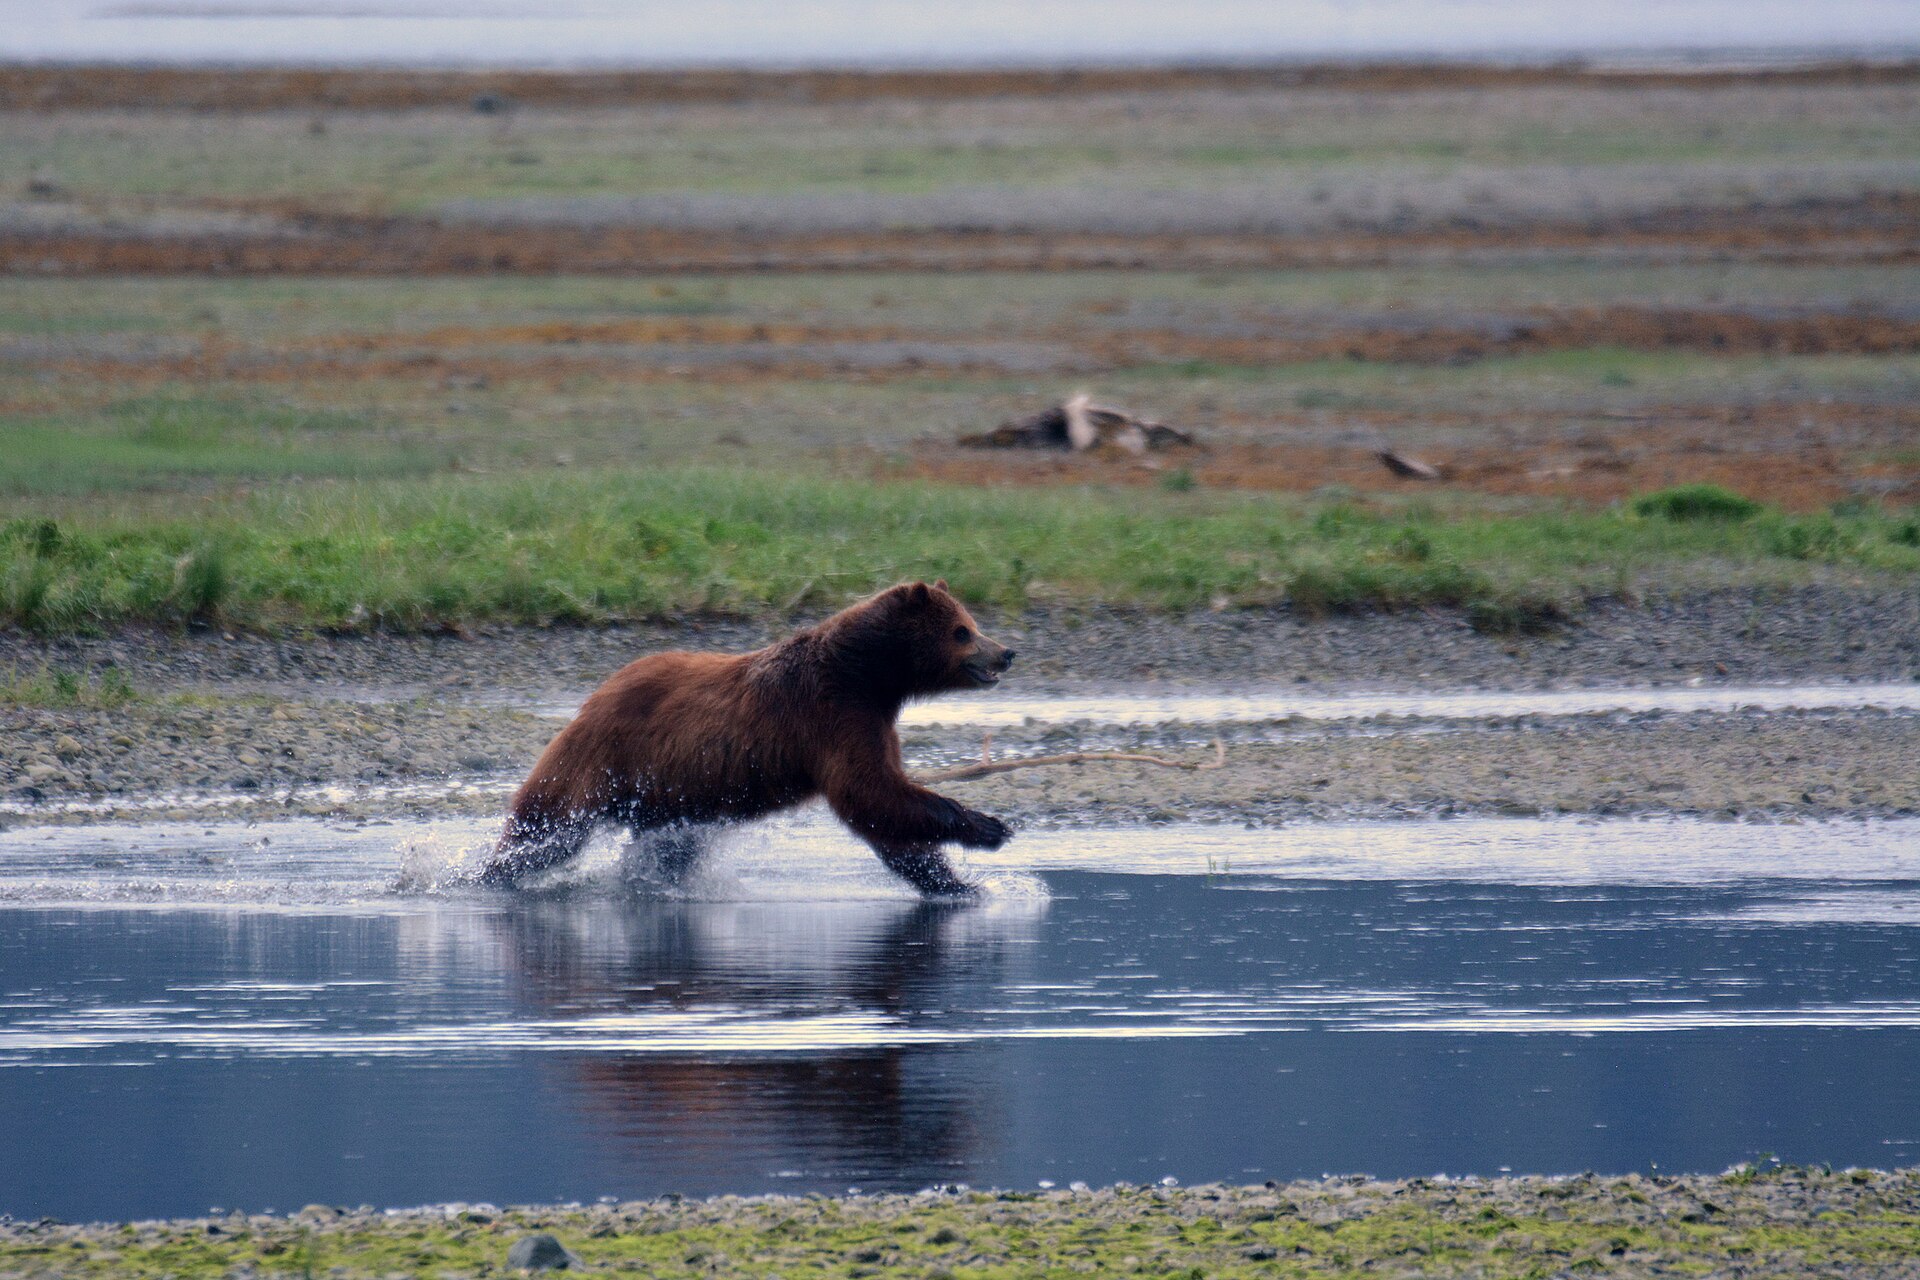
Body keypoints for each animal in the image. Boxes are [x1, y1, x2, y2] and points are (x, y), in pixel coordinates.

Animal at [479, 580, 1017, 896]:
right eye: (962, 631)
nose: (1005, 652)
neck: (870, 675)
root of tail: (593, 696)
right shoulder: (830, 715)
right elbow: (868, 791)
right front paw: (989, 827)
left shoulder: (871, 720)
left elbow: (884, 811)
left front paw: (955, 882)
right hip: (605, 758)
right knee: (548, 826)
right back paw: (491, 871)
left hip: (668, 795)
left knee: (665, 848)